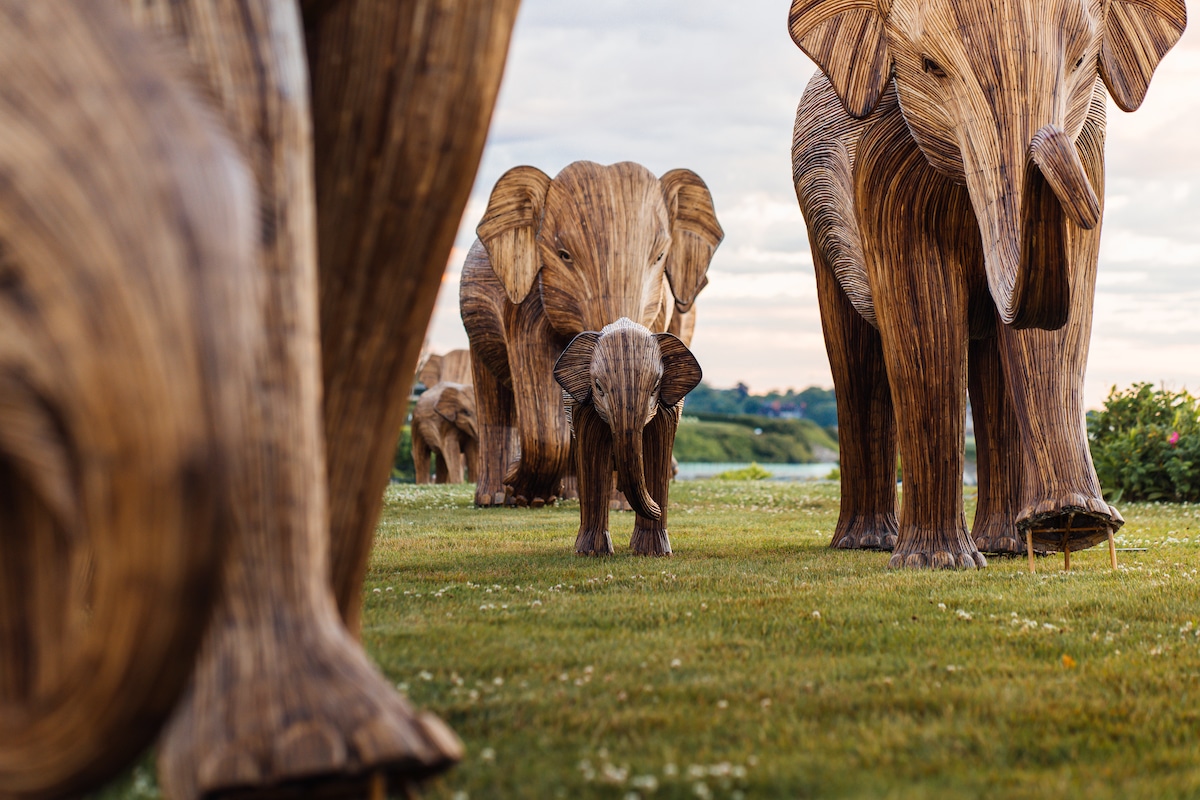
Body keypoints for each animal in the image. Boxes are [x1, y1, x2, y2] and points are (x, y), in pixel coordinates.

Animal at [460, 160, 723, 509]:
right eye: (563, 255)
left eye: (659, 257)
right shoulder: (526, 301)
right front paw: (527, 495)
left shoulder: (662, 309)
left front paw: (618, 506)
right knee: (492, 399)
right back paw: (494, 497)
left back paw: (574, 496)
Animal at [554, 318, 703, 556]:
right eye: (598, 386)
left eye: (655, 387)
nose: (657, 508)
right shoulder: (583, 407)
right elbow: (592, 457)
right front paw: (590, 553)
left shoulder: (666, 409)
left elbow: (658, 452)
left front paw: (655, 553)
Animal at [788, 0, 1185, 568]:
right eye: (930, 66)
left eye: (1082, 60)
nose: (1048, 142)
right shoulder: (887, 160)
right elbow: (922, 323)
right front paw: (936, 564)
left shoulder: (1089, 152)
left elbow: (1056, 326)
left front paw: (1072, 526)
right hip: (816, 213)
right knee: (857, 362)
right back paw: (869, 543)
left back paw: (1005, 546)